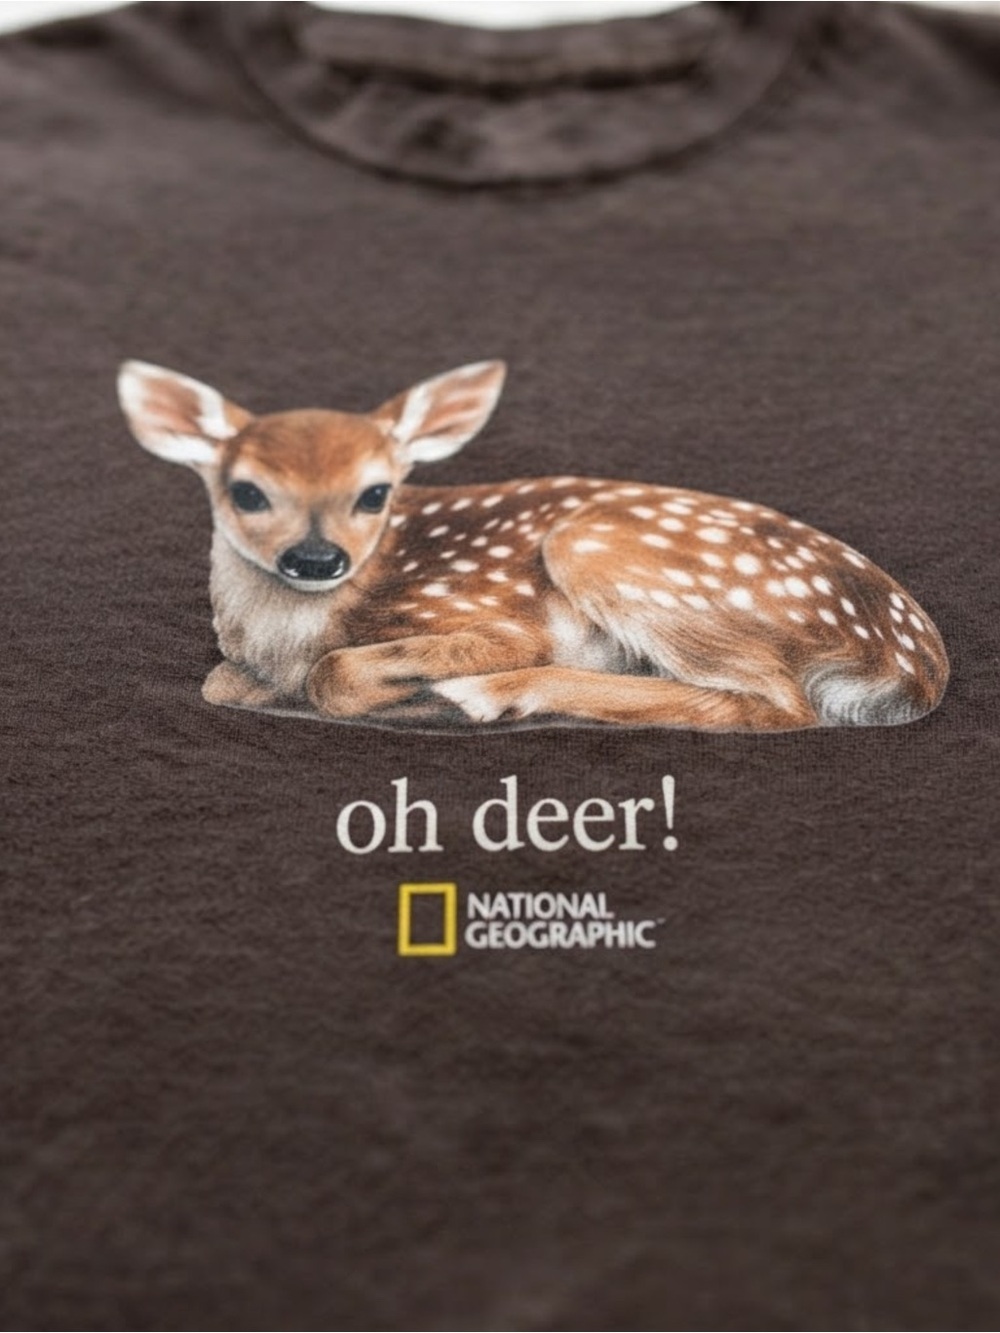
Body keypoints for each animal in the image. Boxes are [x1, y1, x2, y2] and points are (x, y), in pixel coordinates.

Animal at [116, 358, 949, 732]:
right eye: (247, 491)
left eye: (376, 492)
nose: (316, 559)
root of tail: (916, 665)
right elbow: (219, 683)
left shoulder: (497, 620)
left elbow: (334, 673)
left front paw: (417, 694)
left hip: (600, 548)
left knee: (782, 706)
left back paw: (483, 696)